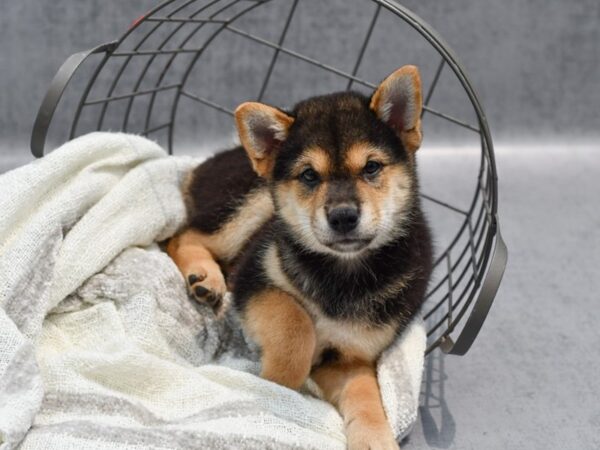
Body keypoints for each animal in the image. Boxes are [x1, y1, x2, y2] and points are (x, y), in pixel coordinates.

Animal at [168, 65, 432, 448]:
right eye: (309, 175)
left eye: (371, 167)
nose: (343, 217)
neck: (342, 273)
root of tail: (213, 159)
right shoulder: (254, 277)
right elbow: (294, 324)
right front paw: (277, 382)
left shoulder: (348, 356)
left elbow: (365, 391)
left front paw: (375, 435)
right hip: (250, 202)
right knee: (182, 236)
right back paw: (204, 276)